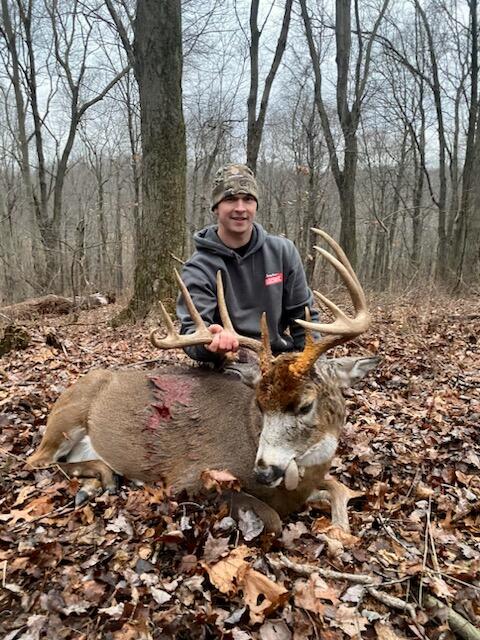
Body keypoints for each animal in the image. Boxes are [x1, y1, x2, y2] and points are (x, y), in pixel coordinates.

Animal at [27, 229, 379, 536]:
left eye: (305, 405)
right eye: (259, 405)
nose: (263, 470)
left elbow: (339, 488)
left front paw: (339, 535)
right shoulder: (191, 479)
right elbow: (274, 520)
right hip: (66, 418)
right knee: (36, 461)